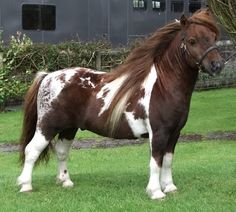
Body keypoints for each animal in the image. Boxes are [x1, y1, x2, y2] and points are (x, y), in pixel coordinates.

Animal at [17, 9, 224, 199]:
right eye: (192, 40)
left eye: (213, 37)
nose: (217, 65)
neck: (163, 86)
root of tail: (48, 76)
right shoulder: (159, 133)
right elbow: (155, 161)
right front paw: (156, 192)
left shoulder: (174, 133)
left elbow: (167, 160)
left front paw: (170, 187)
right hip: (47, 126)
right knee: (32, 150)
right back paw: (26, 185)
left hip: (69, 128)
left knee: (61, 152)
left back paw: (65, 181)